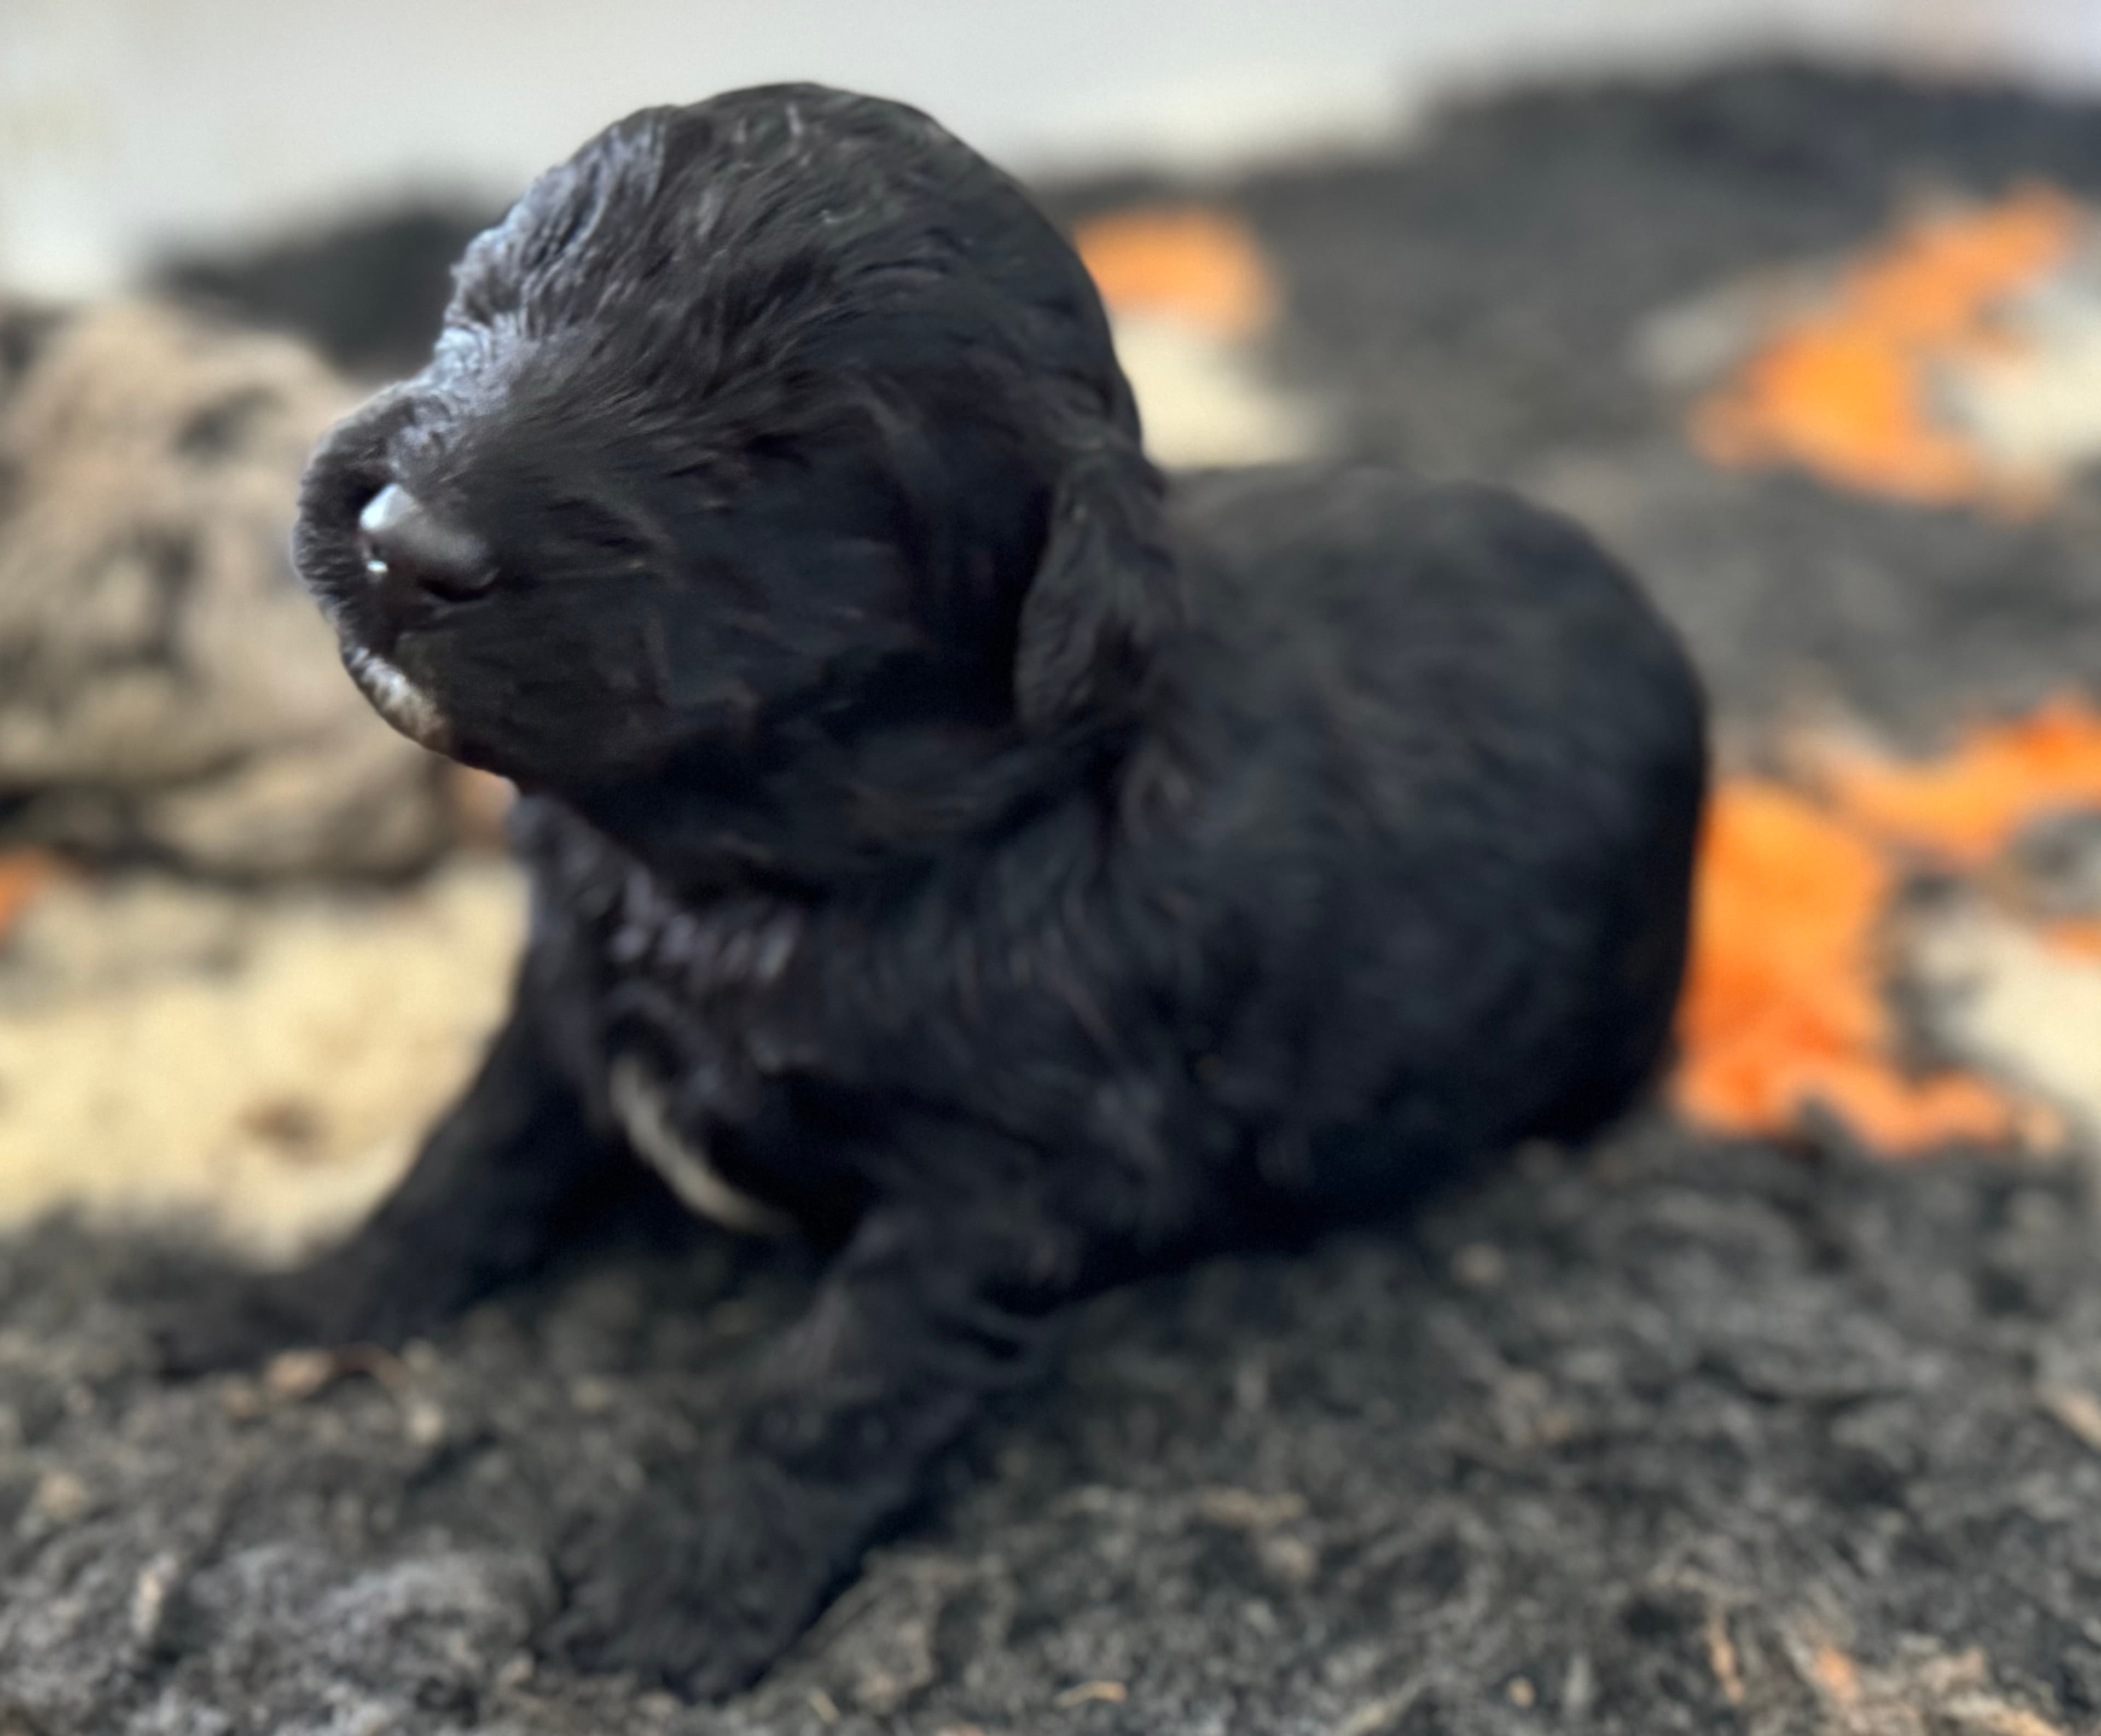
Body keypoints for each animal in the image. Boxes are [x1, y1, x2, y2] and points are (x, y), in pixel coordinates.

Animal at [213, 84, 1706, 1689]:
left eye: (777, 450)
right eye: (486, 304)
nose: (403, 543)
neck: (749, 863)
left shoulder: (1009, 1179)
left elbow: (841, 1375)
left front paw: (690, 1579)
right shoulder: (568, 984)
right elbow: (468, 1152)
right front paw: (297, 1304)